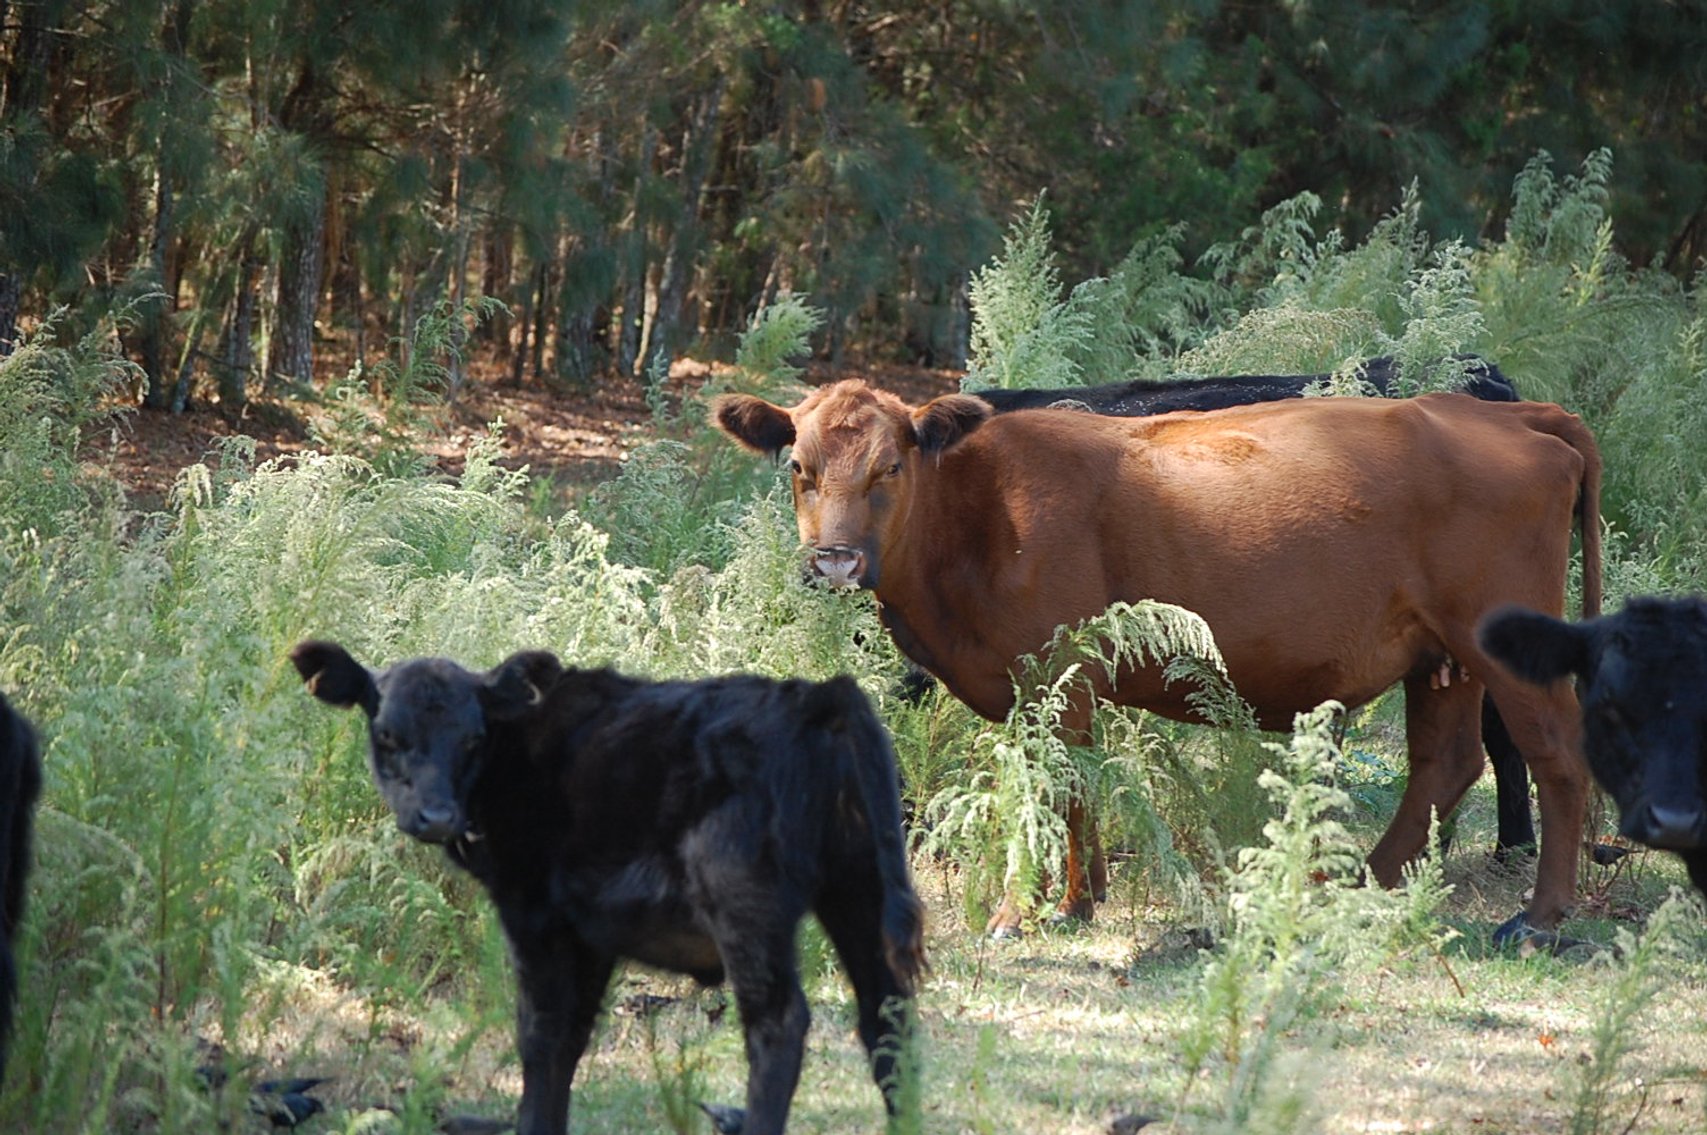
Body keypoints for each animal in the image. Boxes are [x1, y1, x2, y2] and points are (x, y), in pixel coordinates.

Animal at [292, 641, 925, 1135]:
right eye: (387, 733)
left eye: (473, 737)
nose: (437, 815)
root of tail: (817, 696)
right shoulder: (590, 931)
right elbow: (573, 1033)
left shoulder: (533, 913)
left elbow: (541, 1032)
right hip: (858, 889)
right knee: (886, 1020)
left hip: (747, 908)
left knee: (779, 1023)